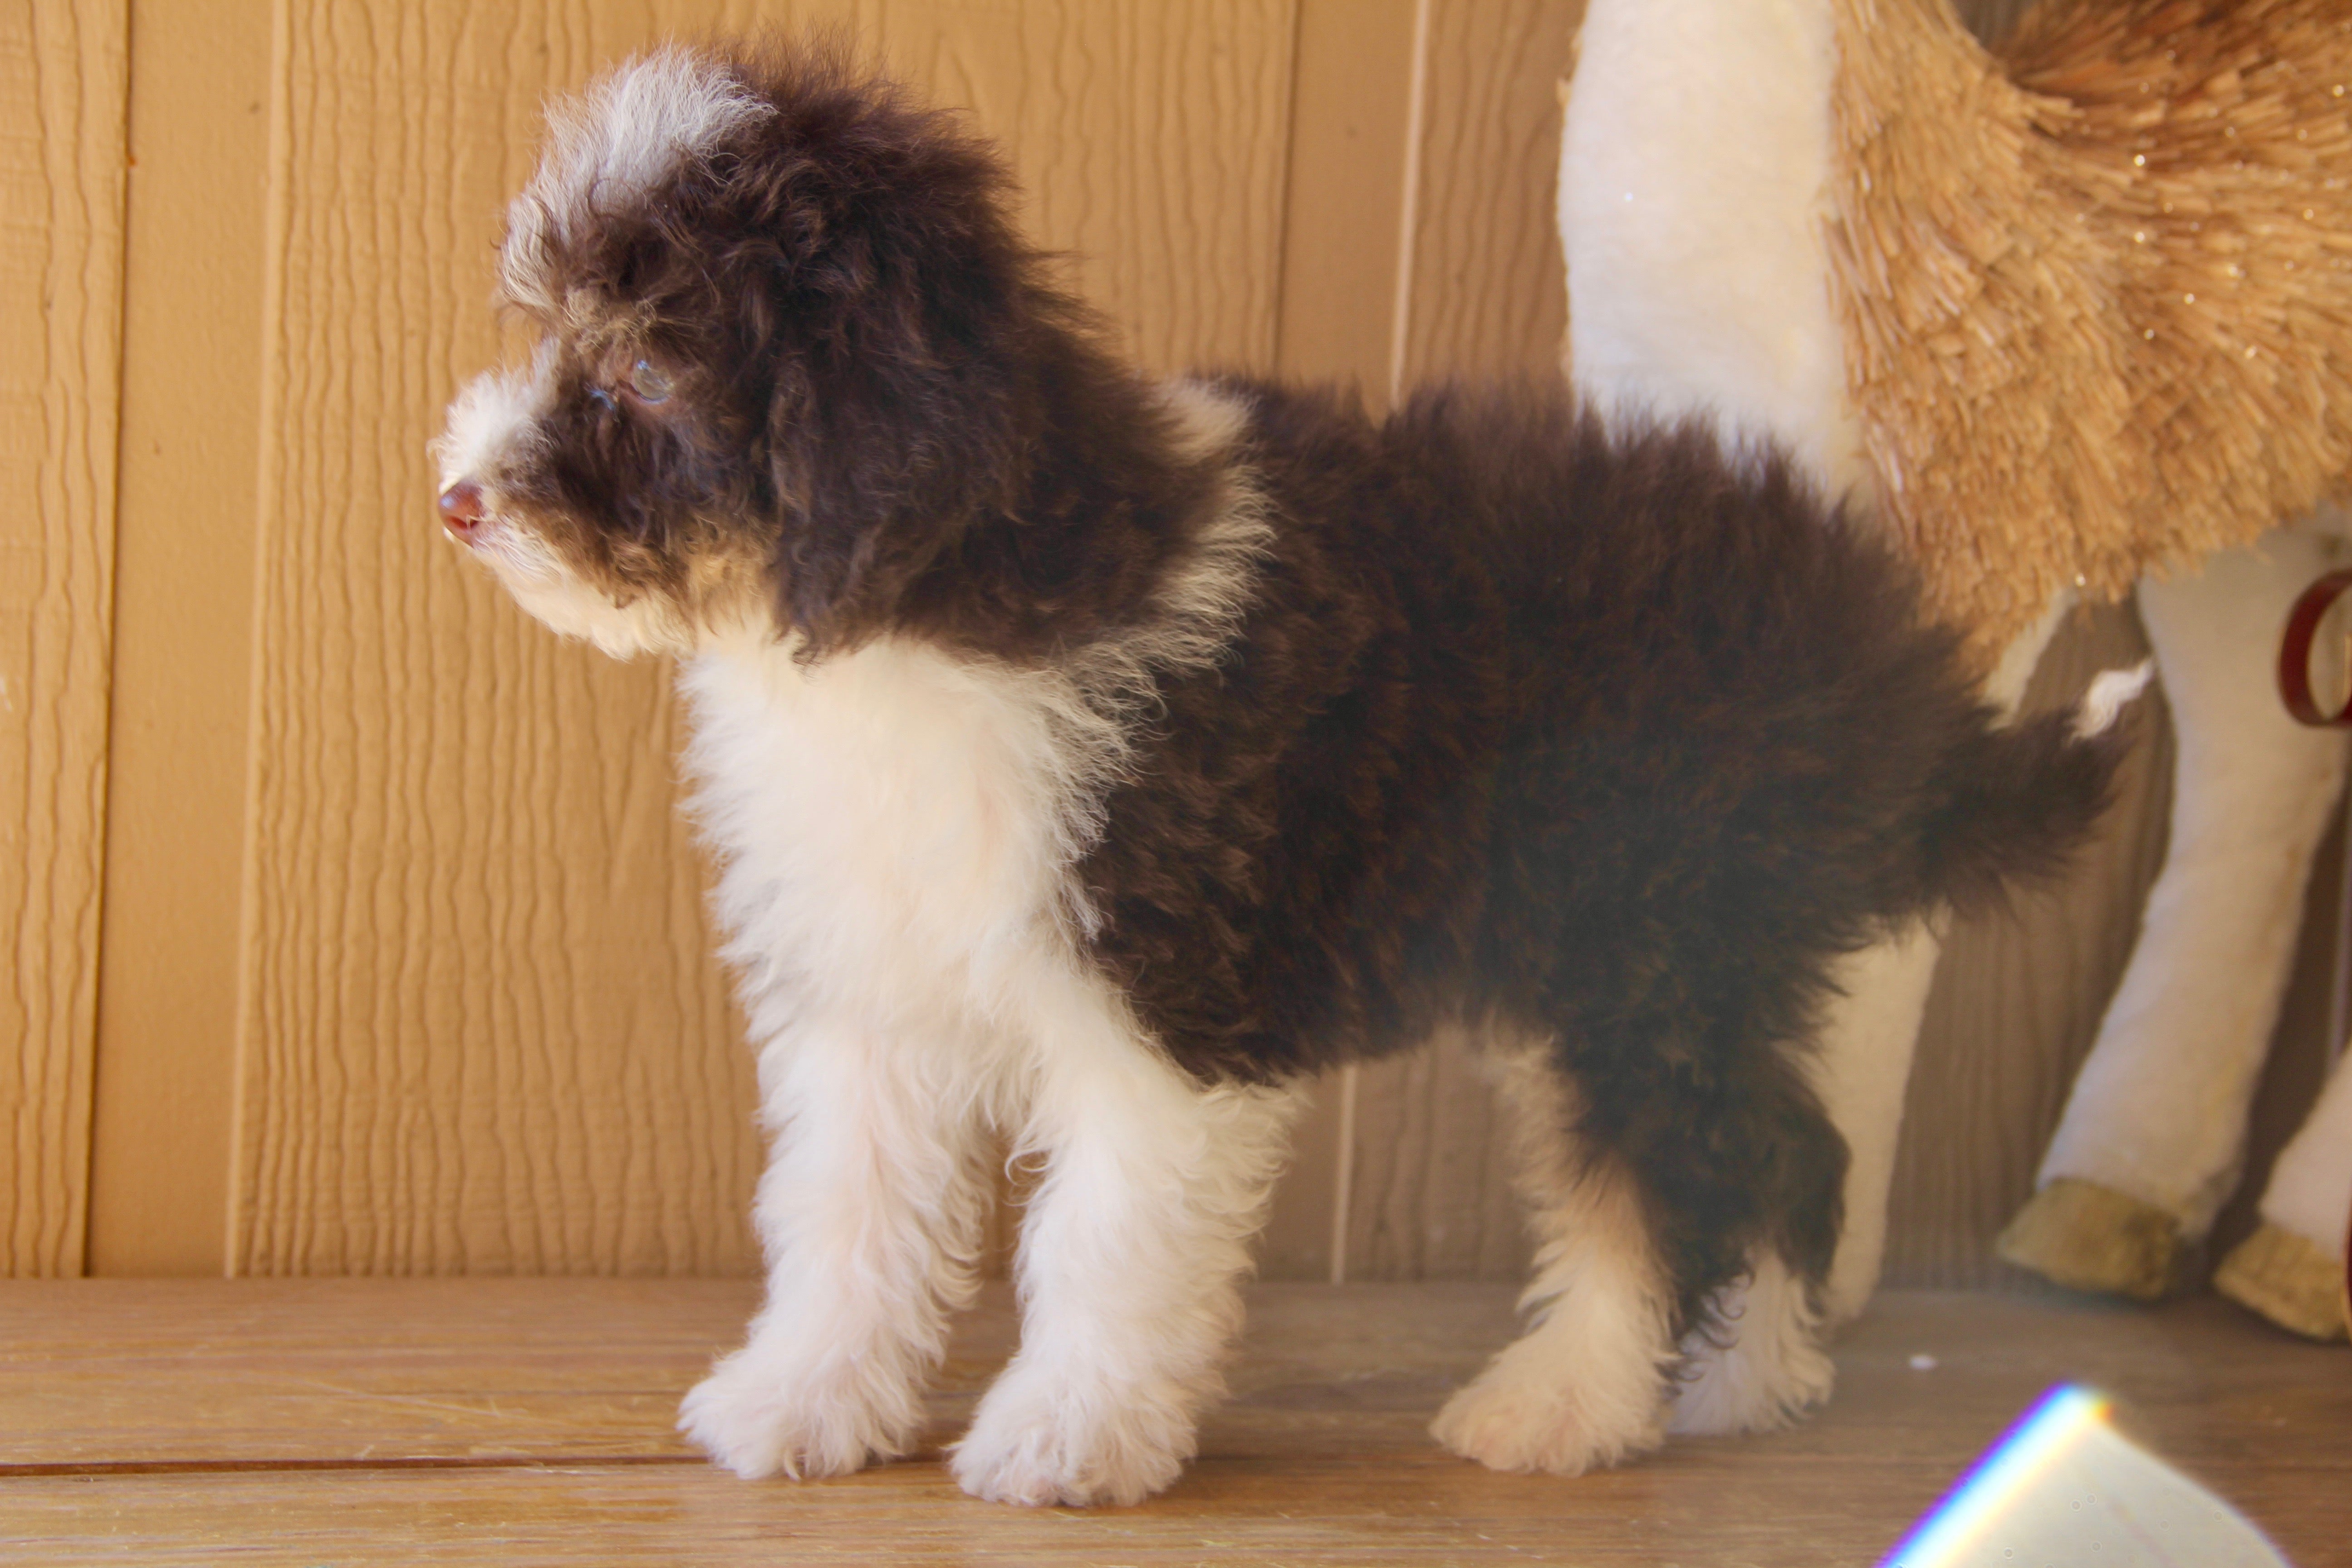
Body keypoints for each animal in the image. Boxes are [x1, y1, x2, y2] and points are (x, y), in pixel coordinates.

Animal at [437, 40, 2136, 1504]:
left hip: (1640, 949)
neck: (934, 620)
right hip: (1669, 955)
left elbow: (1105, 1237)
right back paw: (1752, 1382)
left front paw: (1068, 1441)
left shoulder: (1165, 1000)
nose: (459, 499)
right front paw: (804, 1402)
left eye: (648, 376)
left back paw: (1572, 1402)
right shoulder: (872, 991)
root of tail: (1876, 660)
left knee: (1666, 1175)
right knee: (1782, 1146)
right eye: (557, 335)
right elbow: (846, 1216)